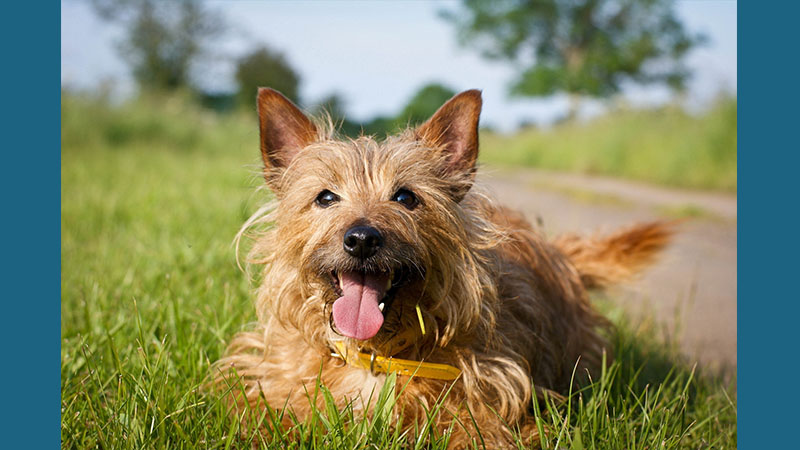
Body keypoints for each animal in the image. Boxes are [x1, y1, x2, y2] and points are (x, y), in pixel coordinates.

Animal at [217, 87, 668, 446]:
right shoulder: (272, 388)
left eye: (405, 197)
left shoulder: (490, 413)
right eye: (326, 197)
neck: (377, 356)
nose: (362, 239)